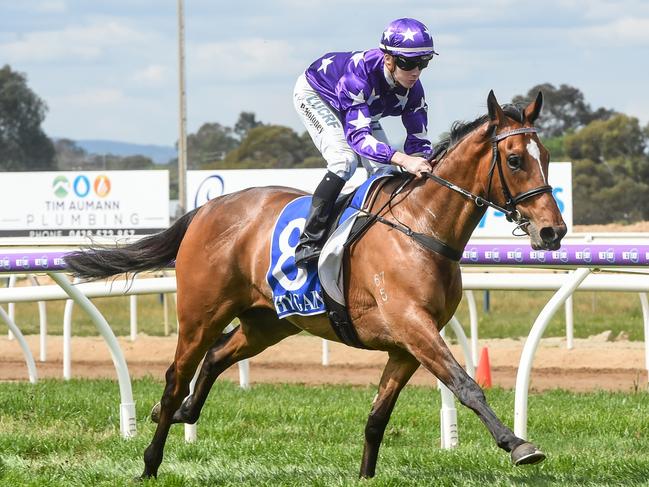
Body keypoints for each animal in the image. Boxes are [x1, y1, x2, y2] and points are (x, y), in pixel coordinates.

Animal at [63, 91, 564, 480]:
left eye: (547, 158)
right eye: (515, 160)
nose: (552, 231)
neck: (420, 226)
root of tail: (207, 208)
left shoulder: (407, 344)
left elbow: (378, 417)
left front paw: (365, 475)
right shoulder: (413, 326)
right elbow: (466, 385)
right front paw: (518, 444)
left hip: (270, 322)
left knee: (218, 355)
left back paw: (187, 411)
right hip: (200, 314)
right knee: (174, 377)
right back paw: (150, 461)